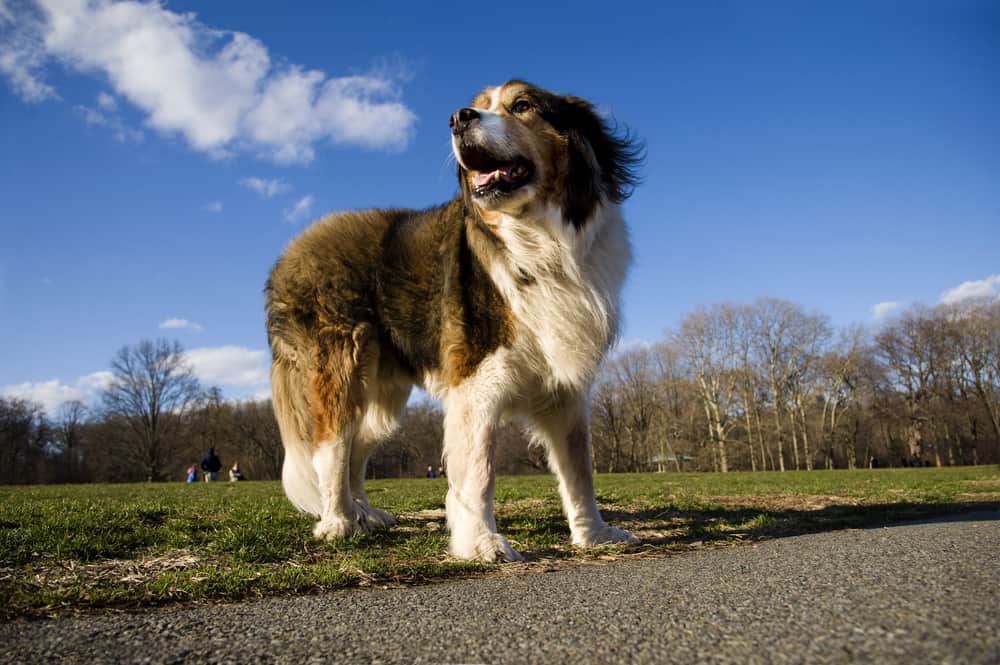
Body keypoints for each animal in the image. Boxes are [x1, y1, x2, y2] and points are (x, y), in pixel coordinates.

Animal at [264, 79, 640, 560]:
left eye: (522, 105)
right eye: (479, 106)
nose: (459, 118)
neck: (542, 241)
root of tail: (290, 253)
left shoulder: (564, 389)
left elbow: (579, 470)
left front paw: (594, 535)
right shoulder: (476, 383)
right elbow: (478, 471)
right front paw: (480, 542)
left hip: (383, 394)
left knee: (356, 450)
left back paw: (364, 514)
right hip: (341, 370)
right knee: (331, 449)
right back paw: (338, 522)